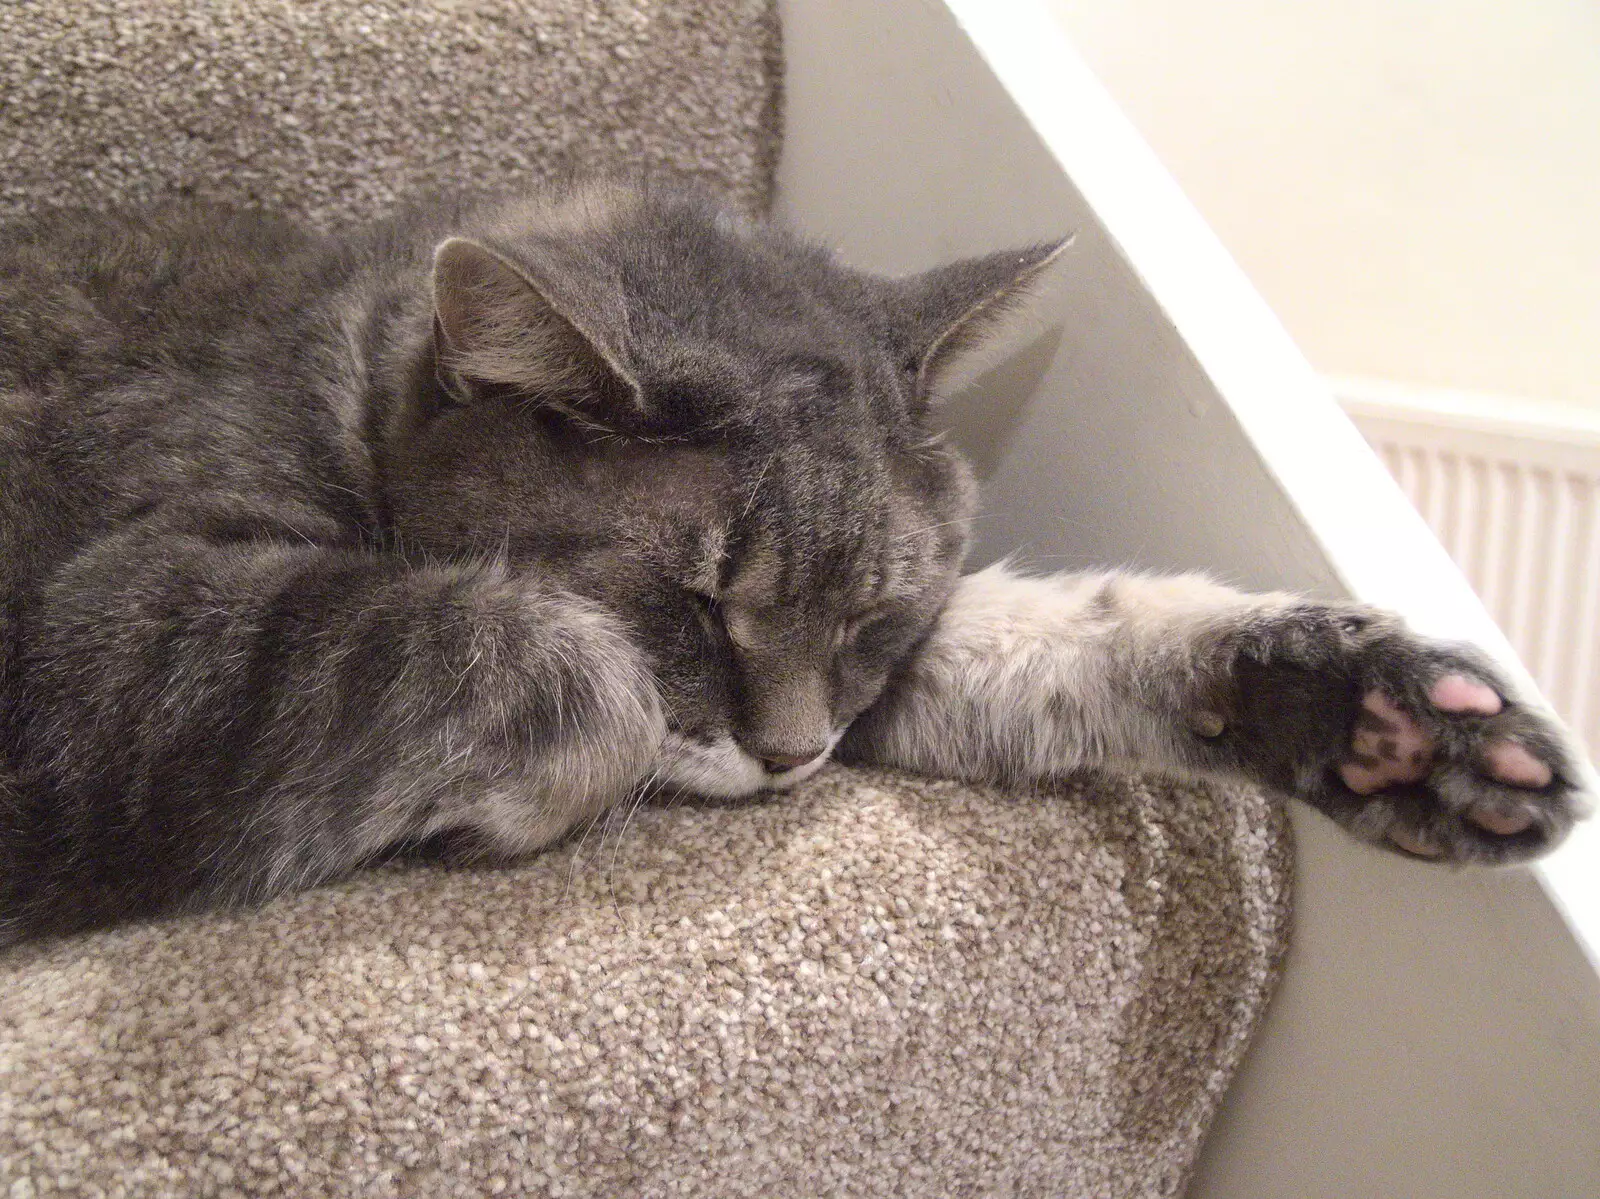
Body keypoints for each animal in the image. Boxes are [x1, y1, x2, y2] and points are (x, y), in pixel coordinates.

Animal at [0, 180, 1580, 947]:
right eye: (695, 601)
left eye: (874, 610)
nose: (792, 757)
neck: (338, 376)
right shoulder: (107, 634)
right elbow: (536, 652)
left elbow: (1070, 631)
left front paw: (1390, 721)